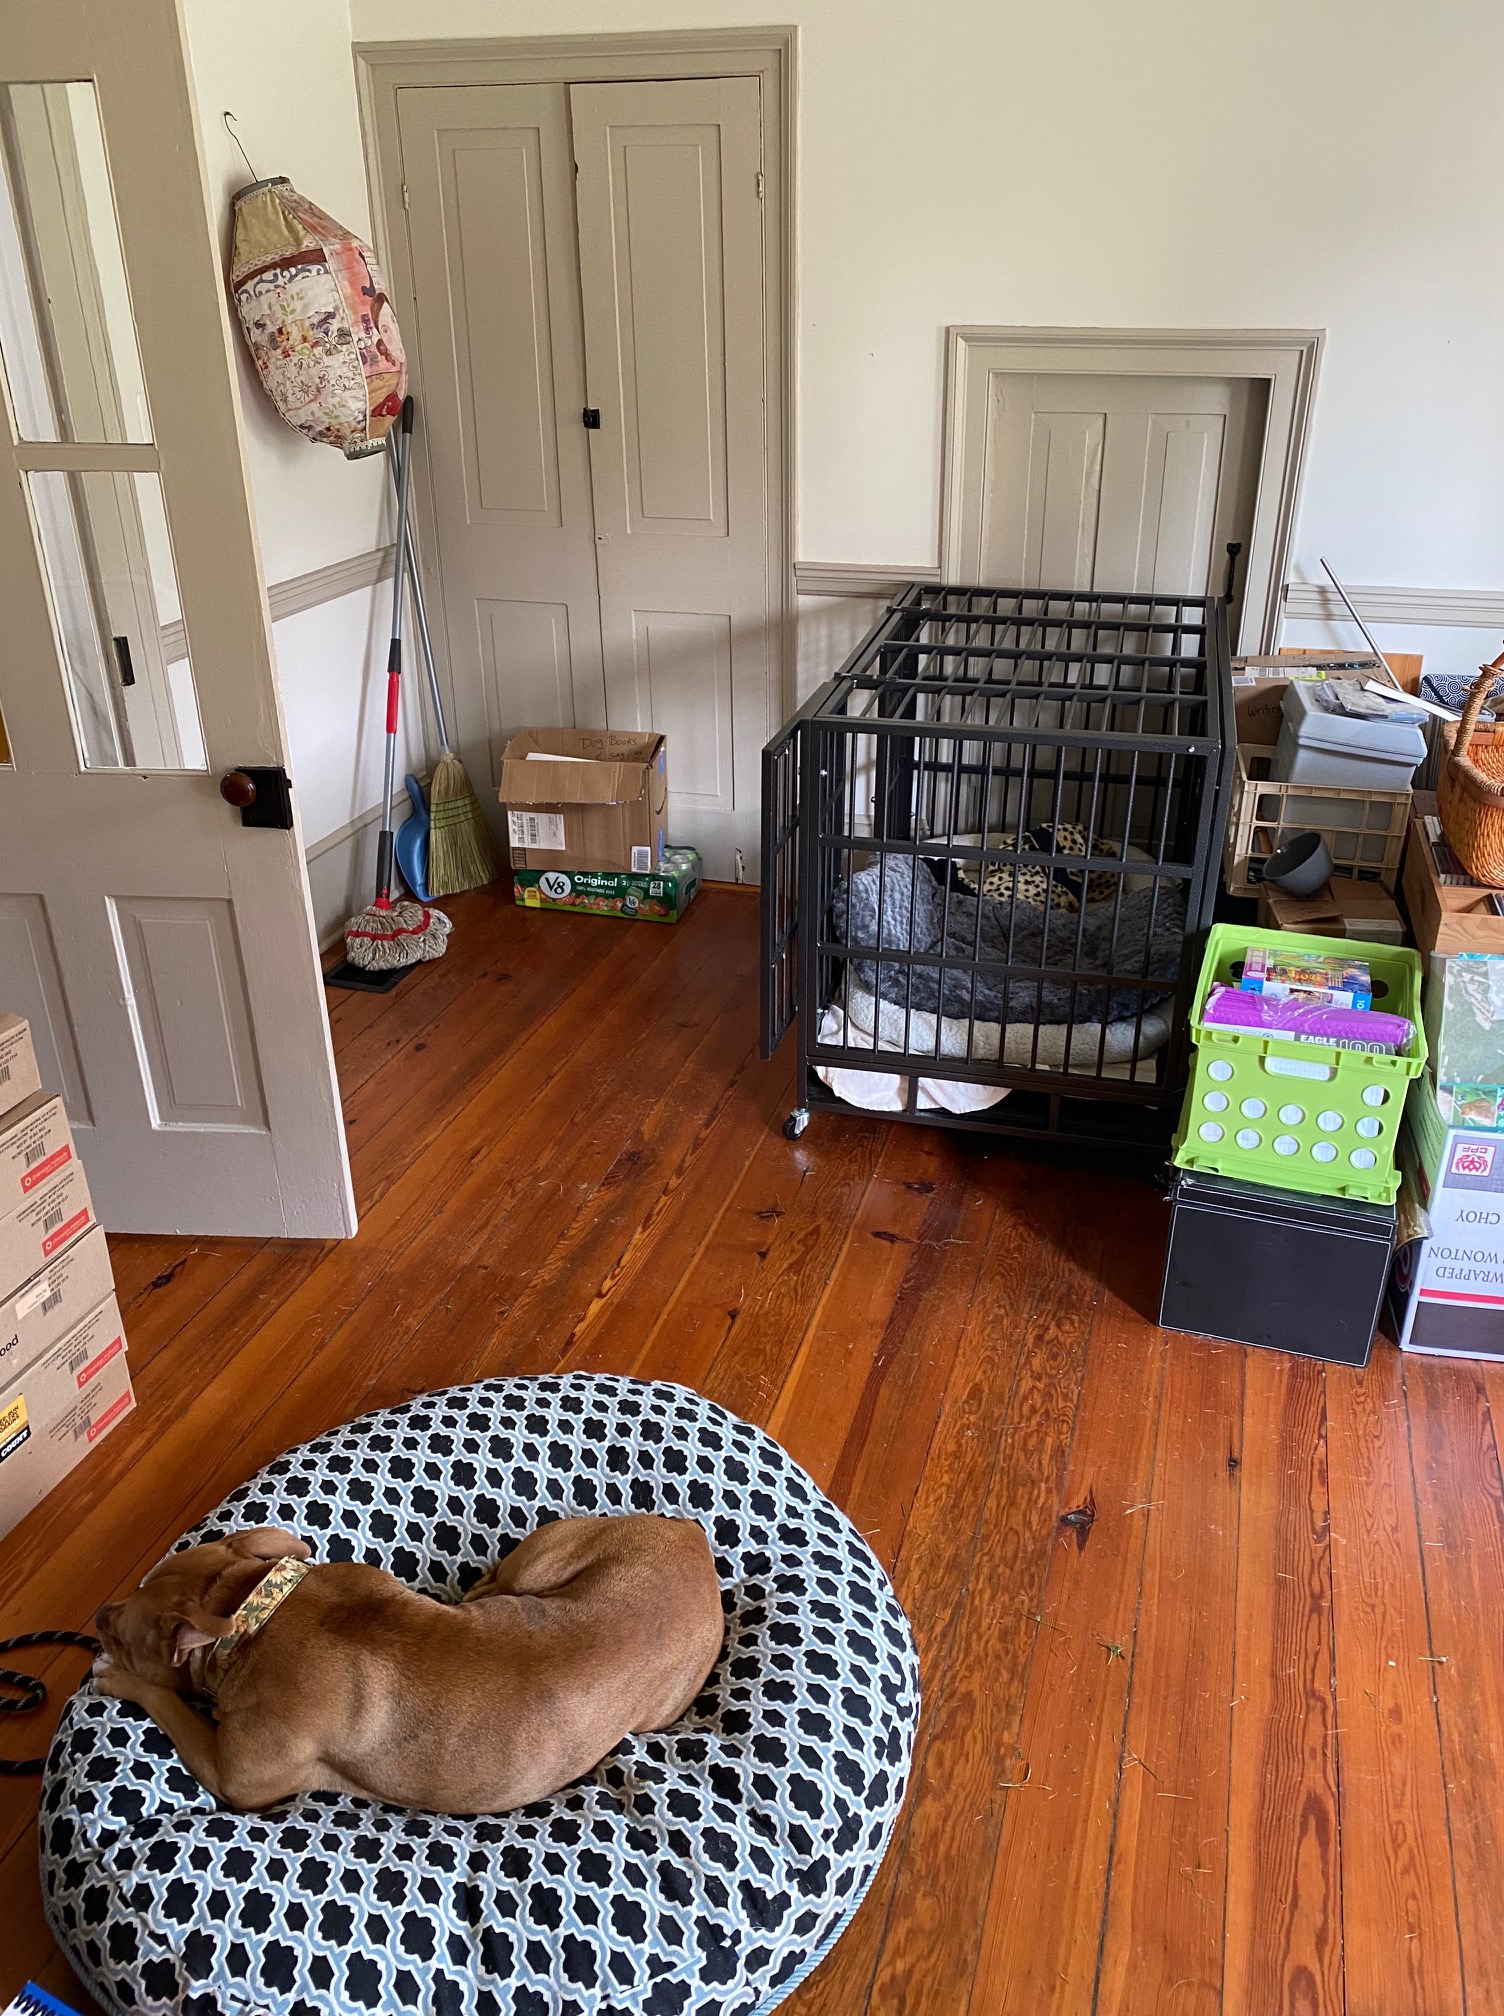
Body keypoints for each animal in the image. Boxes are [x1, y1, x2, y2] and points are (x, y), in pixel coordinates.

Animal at [92, 1514, 724, 1815]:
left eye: (122, 1637)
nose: (100, 1611)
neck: (252, 1610)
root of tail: (694, 1541)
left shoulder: (234, 1778)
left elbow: (170, 1702)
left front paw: (116, 1677)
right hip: (549, 1563)